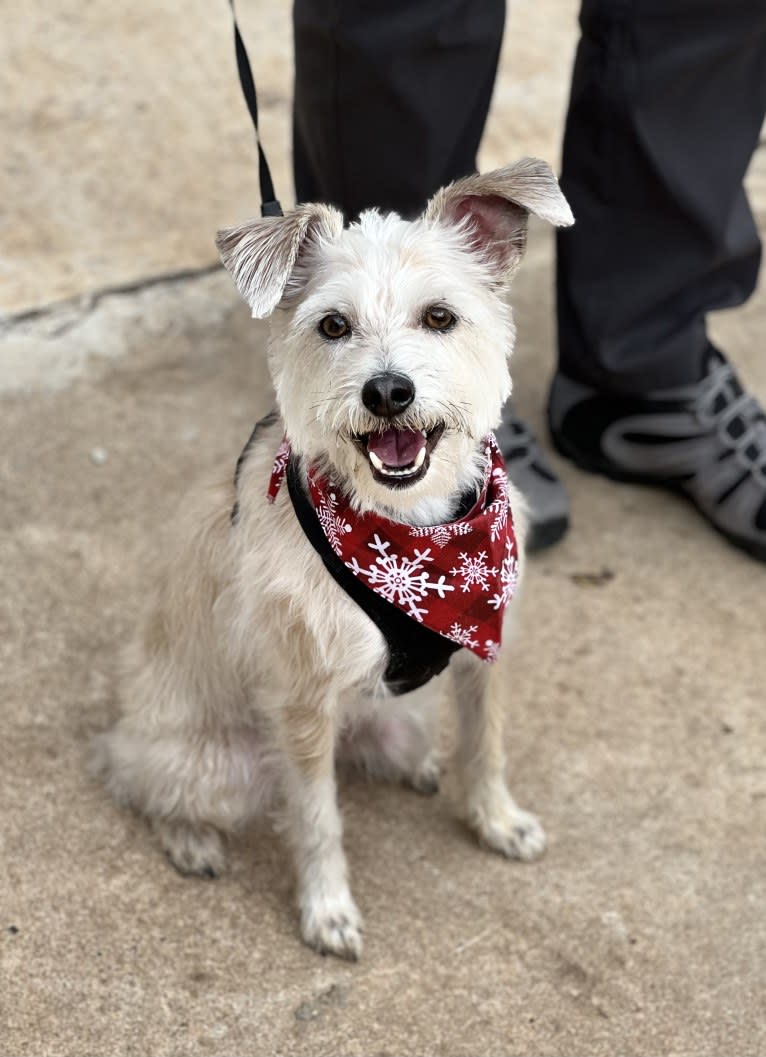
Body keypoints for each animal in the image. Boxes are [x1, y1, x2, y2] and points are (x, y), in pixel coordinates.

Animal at [92, 160, 570, 963]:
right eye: (333, 325)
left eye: (440, 317)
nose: (388, 391)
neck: (413, 536)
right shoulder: (302, 701)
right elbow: (317, 818)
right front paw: (327, 909)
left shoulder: (483, 648)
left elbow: (486, 745)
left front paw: (496, 819)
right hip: (213, 764)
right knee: (147, 786)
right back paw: (189, 838)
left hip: (390, 714)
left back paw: (417, 765)